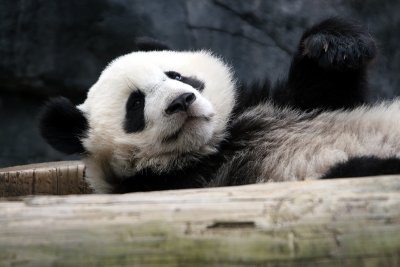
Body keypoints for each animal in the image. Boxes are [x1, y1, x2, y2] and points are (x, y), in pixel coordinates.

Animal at [38, 18, 400, 195]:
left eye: (176, 75)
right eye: (136, 104)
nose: (182, 101)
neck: (214, 146)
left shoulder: (265, 104)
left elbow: (328, 92)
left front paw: (335, 45)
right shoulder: (180, 184)